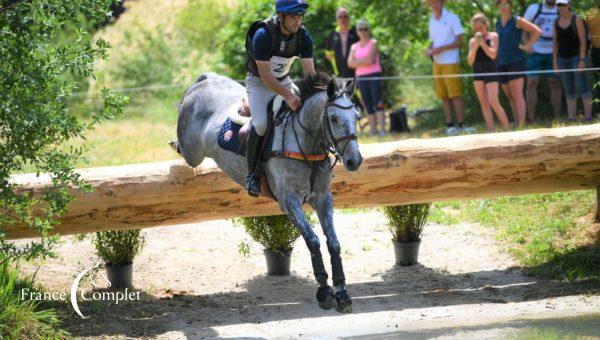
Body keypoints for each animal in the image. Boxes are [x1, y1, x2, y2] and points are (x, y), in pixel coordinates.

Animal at [173, 72, 360, 314]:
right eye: (334, 119)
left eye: (356, 116)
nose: (355, 161)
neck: (306, 142)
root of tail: (206, 80)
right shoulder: (289, 202)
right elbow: (313, 241)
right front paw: (324, 292)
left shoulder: (323, 198)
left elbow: (333, 243)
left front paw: (342, 293)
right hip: (192, 152)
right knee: (184, 147)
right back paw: (175, 138)